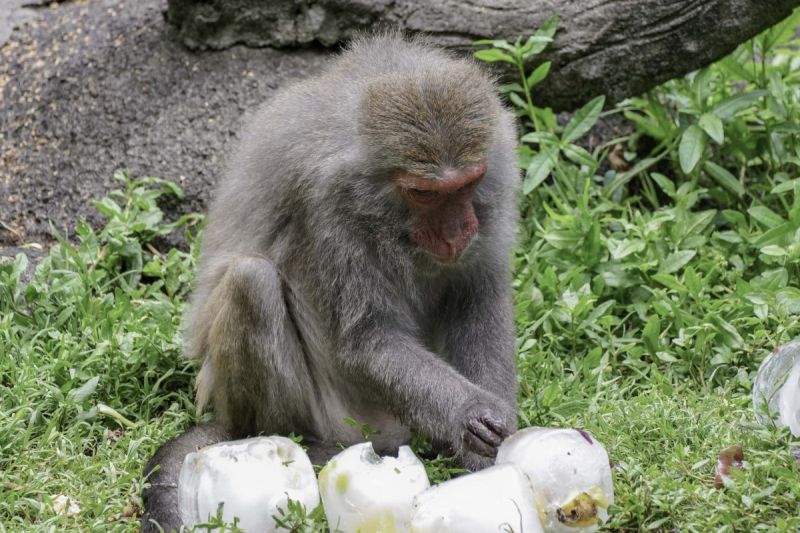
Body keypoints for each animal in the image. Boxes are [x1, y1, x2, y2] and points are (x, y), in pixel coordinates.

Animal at [141, 34, 520, 532]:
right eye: (423, 193)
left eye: (466, 184)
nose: (457, 231)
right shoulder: (329, 205)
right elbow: (364, 340)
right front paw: (469, 416)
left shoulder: (498, 175)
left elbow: (478, 300)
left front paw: (490, 456)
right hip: (337, 414)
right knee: (251, 281)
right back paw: (298, 443)